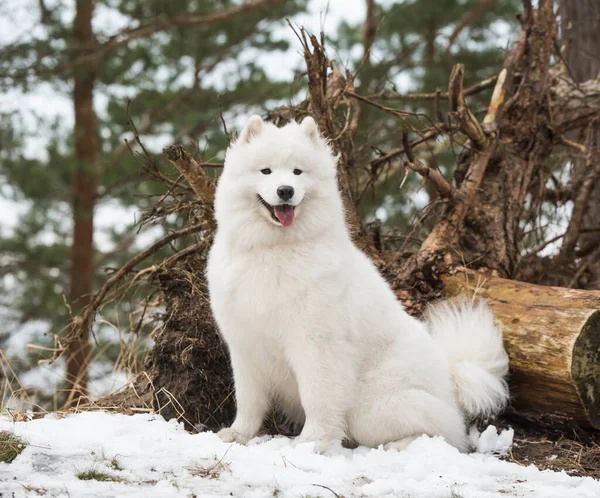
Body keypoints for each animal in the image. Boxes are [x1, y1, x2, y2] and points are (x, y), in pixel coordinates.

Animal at [207, 115, 510, 454]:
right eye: (266, 171)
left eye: (298, 172)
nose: (285, 191)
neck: (274, 250)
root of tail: (450, 383)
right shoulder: (246, 345)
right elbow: (248, 400)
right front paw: (237, 434)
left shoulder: (316, 344)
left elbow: (317, 397)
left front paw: (311, 442)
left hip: (371, 406)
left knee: (443, 434)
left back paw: (397, 446)